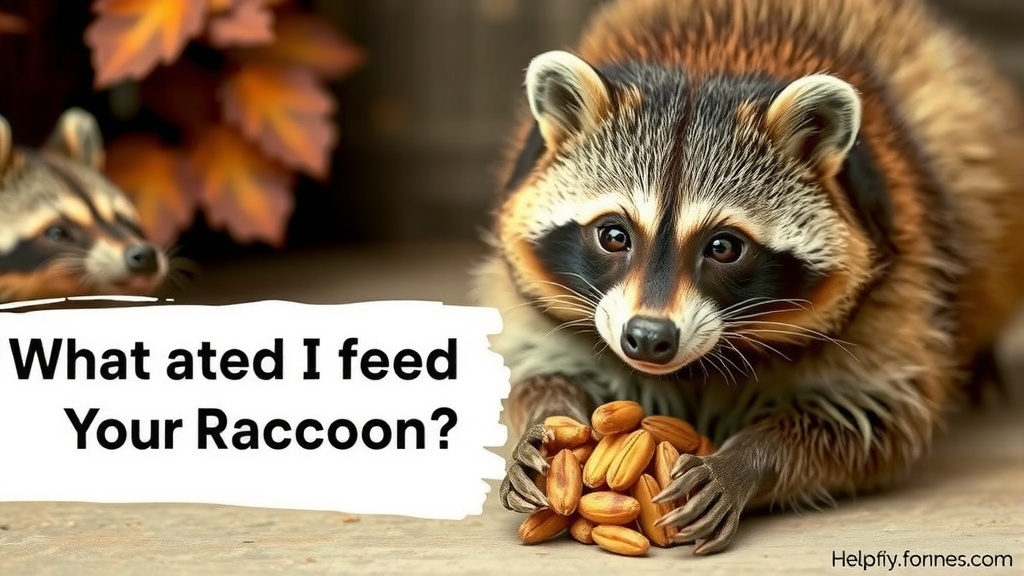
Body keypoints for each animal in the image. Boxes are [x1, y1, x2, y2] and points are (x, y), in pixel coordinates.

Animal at [473, 0, 1024, 555]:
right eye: (613, 235)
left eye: (723, 247)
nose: (648, 338)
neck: (704, 64)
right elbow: (540, 367)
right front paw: (543, 422)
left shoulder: (898, 292)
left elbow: (871, 420)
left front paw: (747, 460)